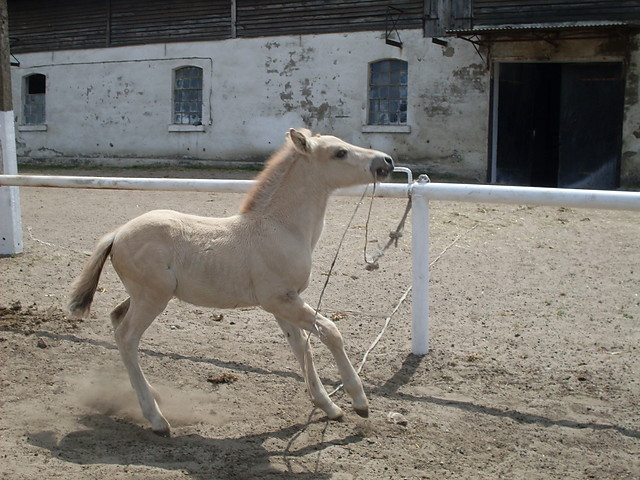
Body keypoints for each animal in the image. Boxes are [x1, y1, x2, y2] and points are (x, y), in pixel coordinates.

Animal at [67, 127, 392, 436]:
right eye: (340, 152)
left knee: (116, 319)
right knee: (127, 337)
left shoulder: (285, 302)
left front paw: (329, 406)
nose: (386, 162)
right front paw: (359, 402)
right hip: (152, 298)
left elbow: (302, 347)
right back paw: (157, 419)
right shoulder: (279, 300)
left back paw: (150, 395)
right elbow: (331, 332)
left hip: (143, 295)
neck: (280, 227)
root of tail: (117, 234)